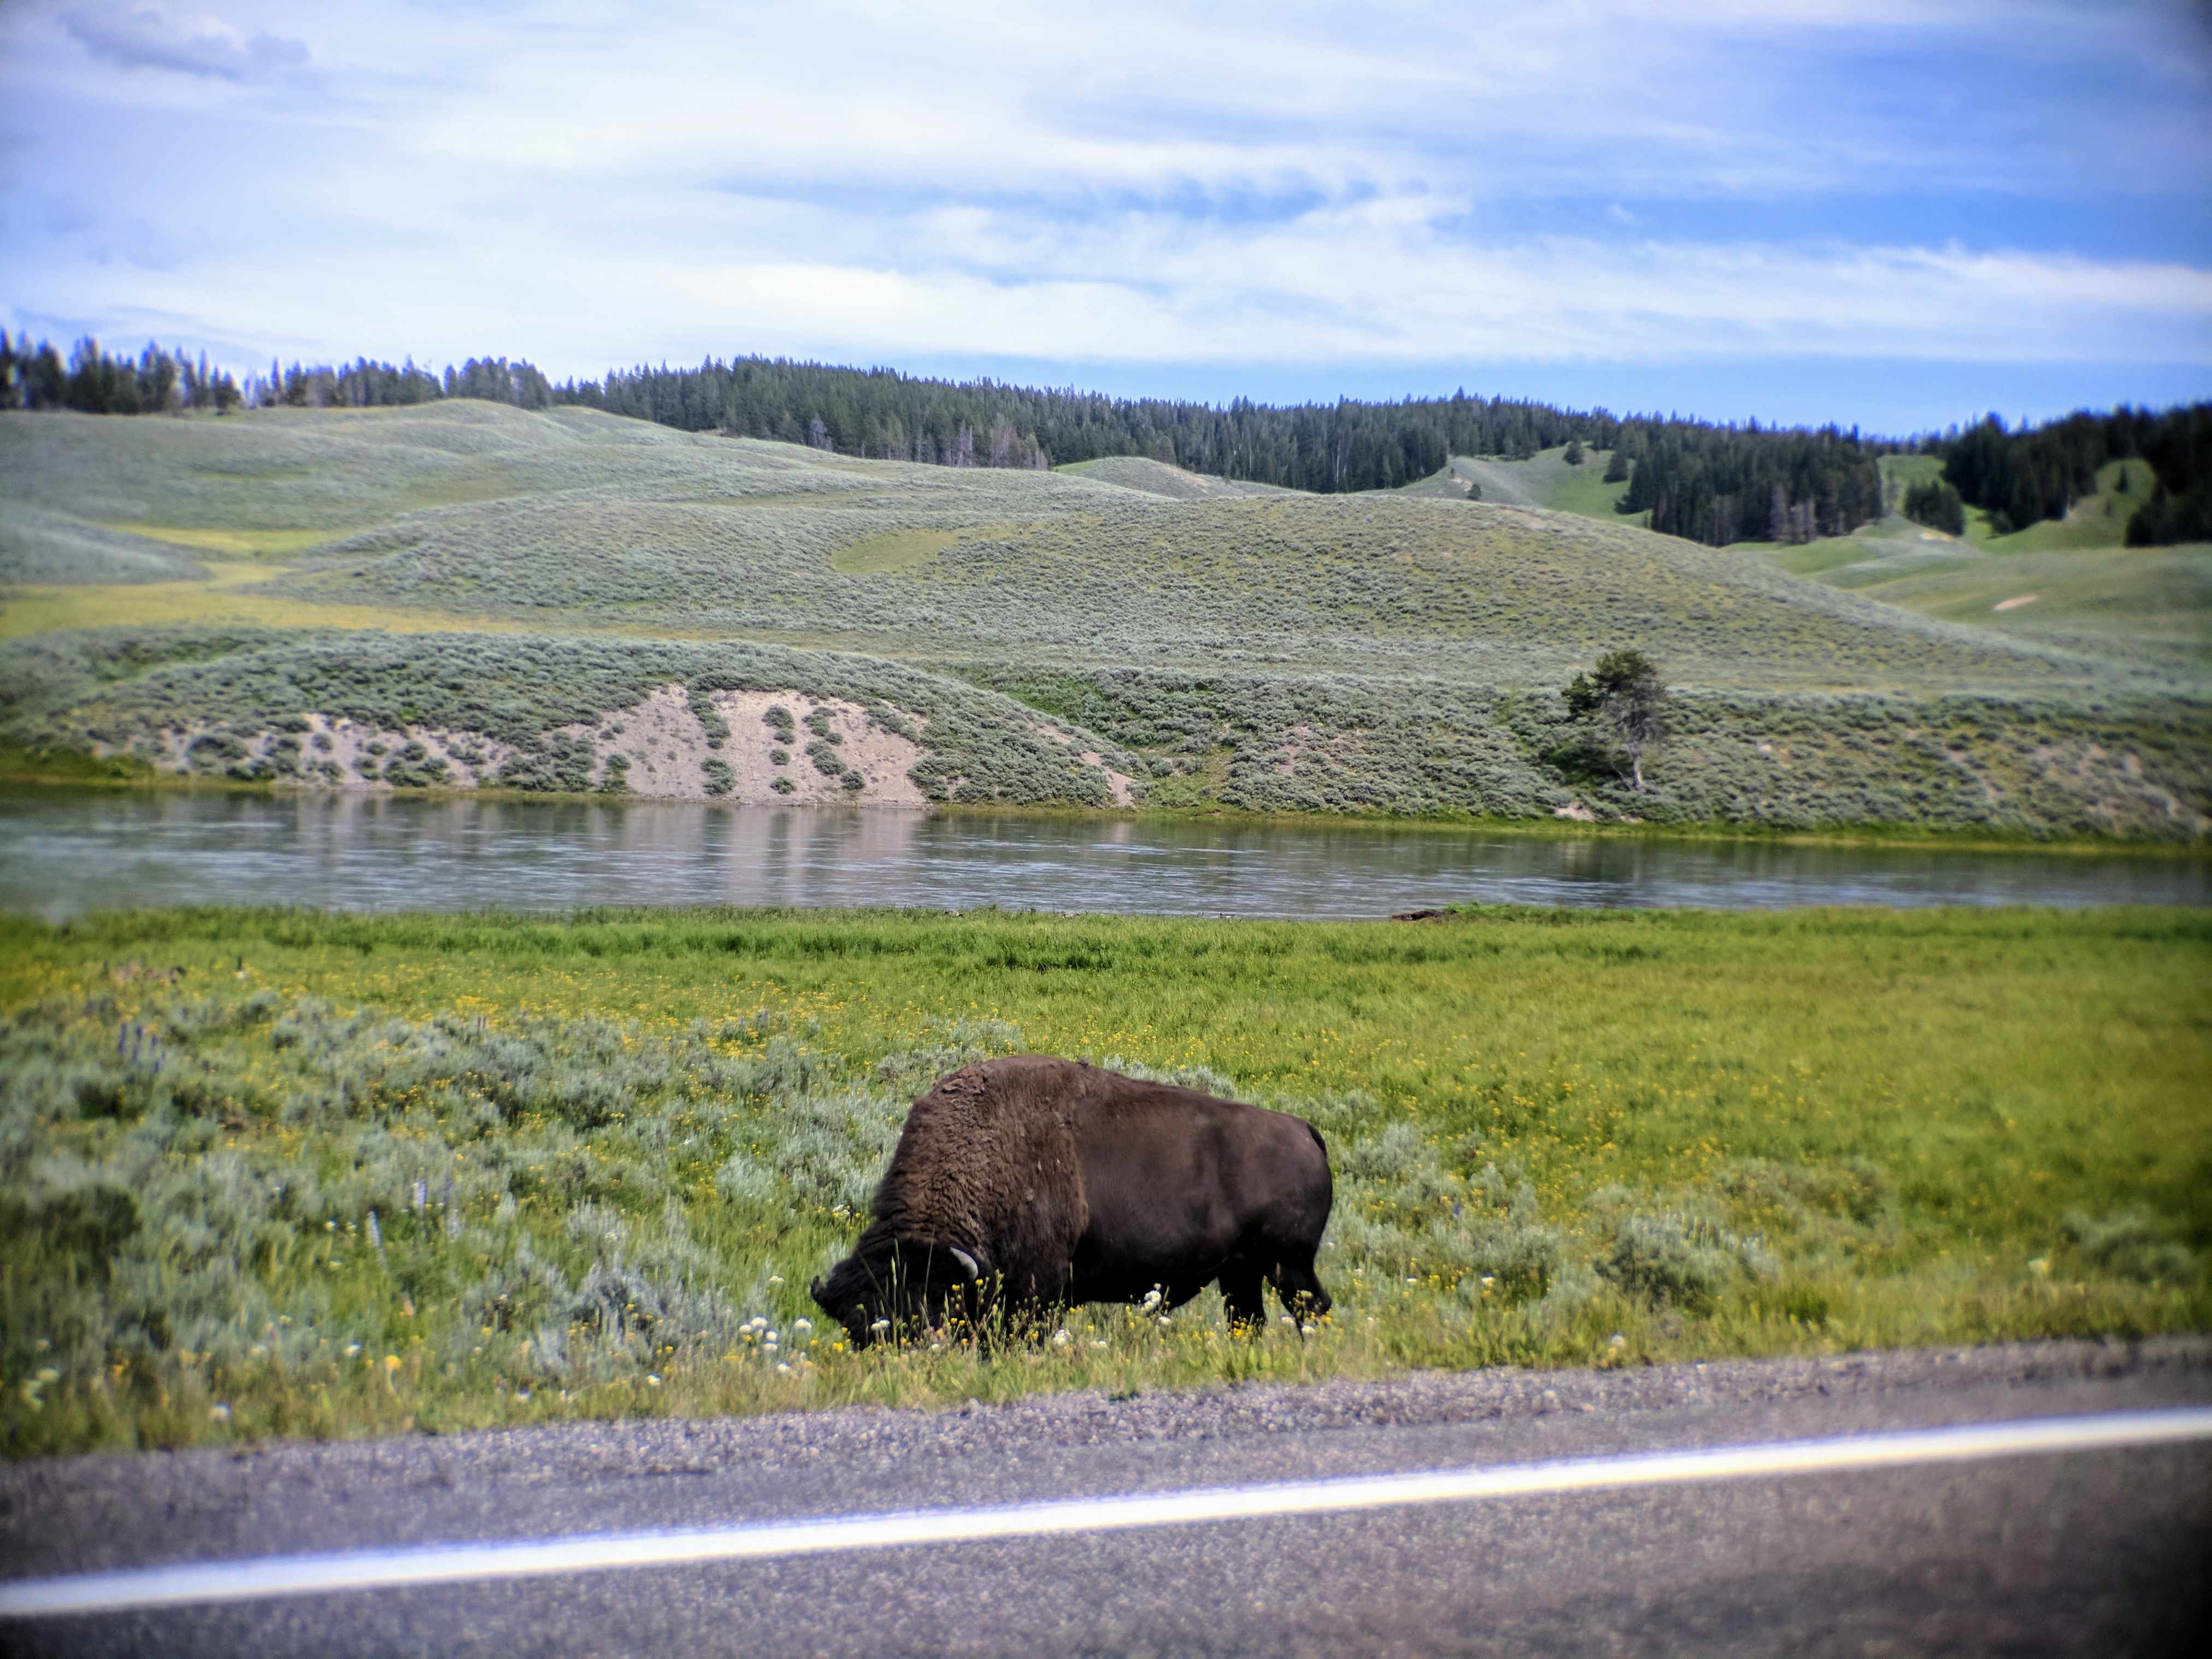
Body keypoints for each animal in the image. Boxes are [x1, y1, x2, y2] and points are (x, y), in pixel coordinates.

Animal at [811, 1055, 1333, 1348]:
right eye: (855, 1333)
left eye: (926, 1313)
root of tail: (1304, 1130)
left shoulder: (1037, 1288)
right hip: (1241, 1271)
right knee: (1250, 1319)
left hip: (1289, 1265)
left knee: (1312, 1309)